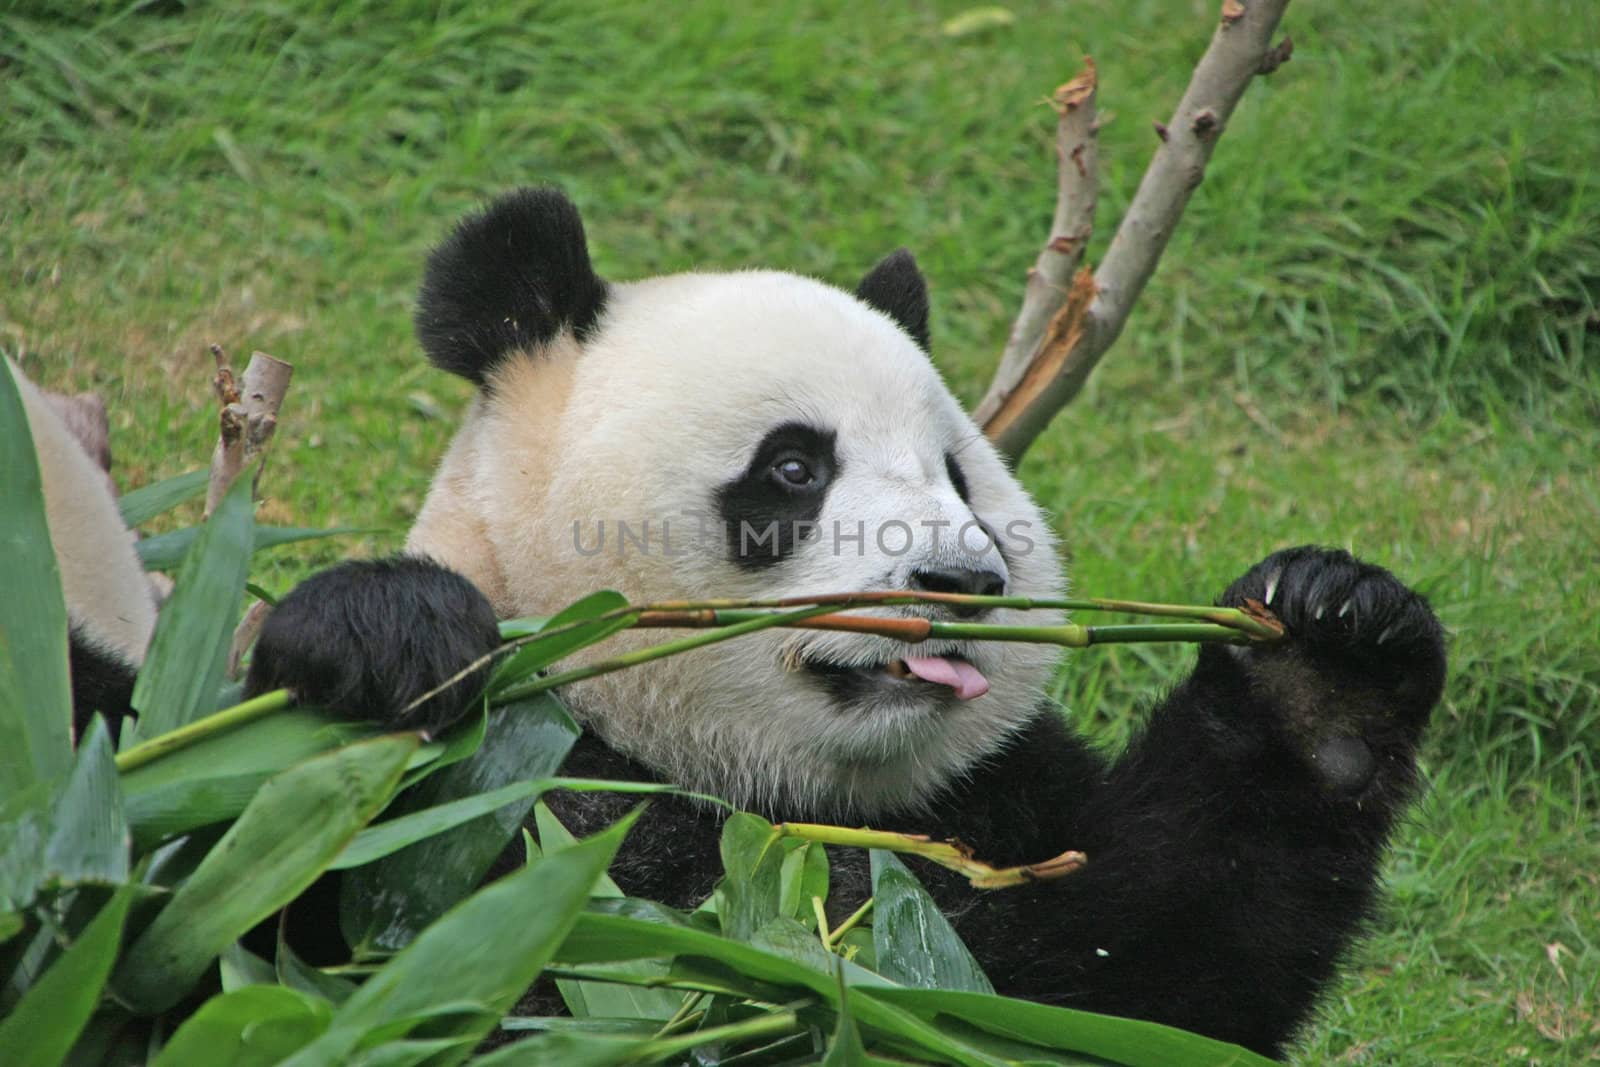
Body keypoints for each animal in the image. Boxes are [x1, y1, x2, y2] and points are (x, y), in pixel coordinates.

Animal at [240, 187, 1452, 1055]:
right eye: (793, 466)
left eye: (959, 477)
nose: (962, 577)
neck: (777, 799)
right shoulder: (537, 787)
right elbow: (299, 931)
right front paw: (387, 640)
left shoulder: (992, 812)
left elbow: (1154, 975)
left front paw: (1325, 655)